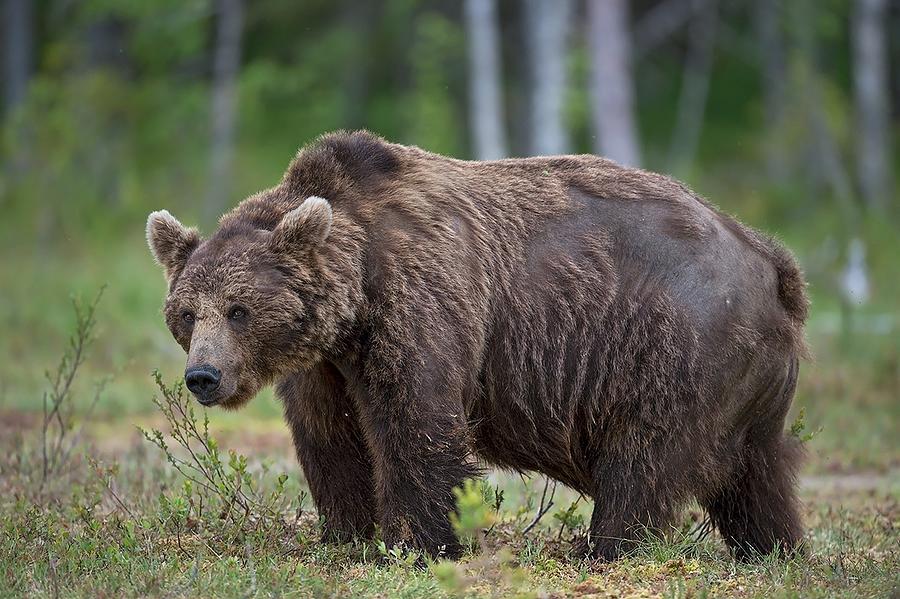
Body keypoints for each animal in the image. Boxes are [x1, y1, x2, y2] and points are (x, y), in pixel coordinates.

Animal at [146, 130, 808, 564]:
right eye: (186, 313)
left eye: (239, 309)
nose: (203, 376)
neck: (355, 292)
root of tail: (769, 258)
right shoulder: (325, 363)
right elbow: (331, 437)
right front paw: (346, 534)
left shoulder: (423, 297)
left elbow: (418, 421)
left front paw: (422, 542)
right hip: (751, 379)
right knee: (759, 472)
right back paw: (773, 547)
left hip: (675, 341)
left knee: (644, 454)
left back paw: (601, 546)